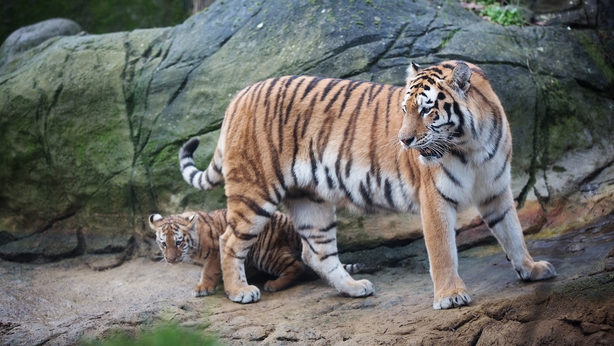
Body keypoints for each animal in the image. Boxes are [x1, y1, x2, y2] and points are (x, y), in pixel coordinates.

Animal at [179, 60, 560, 308]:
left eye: (426, 110)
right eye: (405, 109)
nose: (404, 141)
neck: (472, 145)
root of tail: (238, 96)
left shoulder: (496, 191)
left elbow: (513, 234)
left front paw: (532, 269)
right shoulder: (435, 199)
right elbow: (443, 251)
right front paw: (450, 296)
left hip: (310, 200)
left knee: (315, 252)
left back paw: (353, 287)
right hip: (255, 191)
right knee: (229, 240)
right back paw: (239, 292)